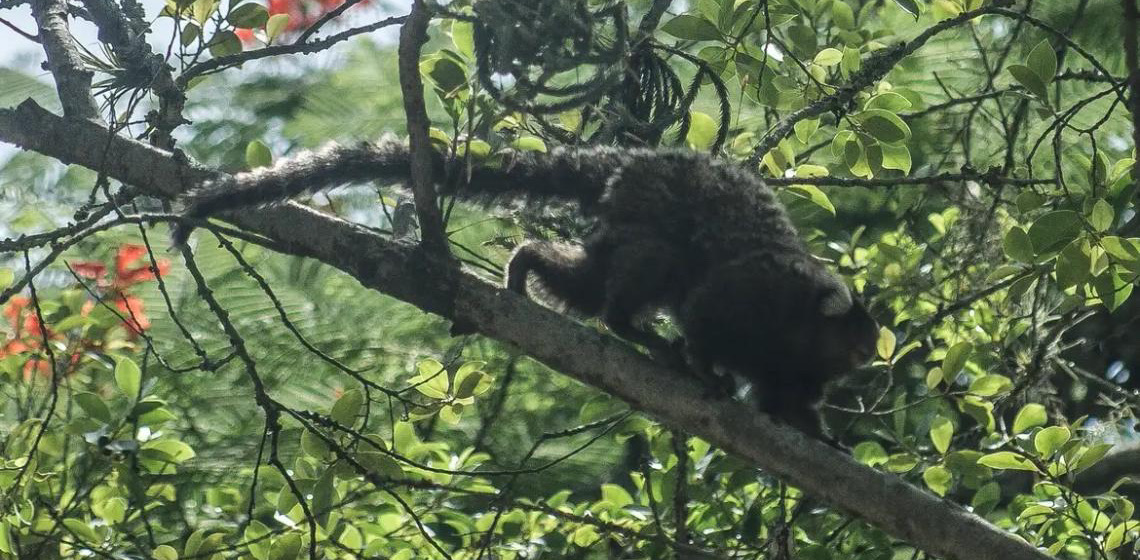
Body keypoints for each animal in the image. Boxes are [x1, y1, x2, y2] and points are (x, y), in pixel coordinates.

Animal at [173, 138, 875, 440]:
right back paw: (633, 328)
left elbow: (789, 402)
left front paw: (819, 435)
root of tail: (633, 161)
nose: (872, 357)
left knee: (591, 281)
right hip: (653, 210)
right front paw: (706, 369)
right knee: (654, 267)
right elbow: (705, 313)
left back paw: (530, 264)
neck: (797, 327)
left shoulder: (796, 371)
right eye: (858, 340)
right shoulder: (754, 294)